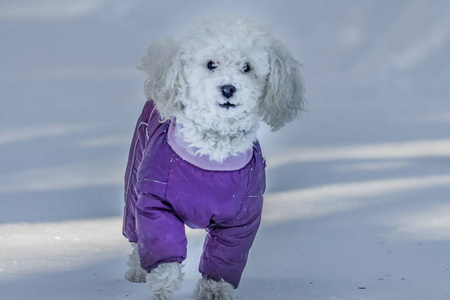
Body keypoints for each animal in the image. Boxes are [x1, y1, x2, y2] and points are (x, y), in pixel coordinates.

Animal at [123, 16, 304, 300]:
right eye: (211, 64)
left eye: (247, 67)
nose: (228, 88)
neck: (212, 156)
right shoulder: (155, 200)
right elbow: (160, 245)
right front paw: (163, 285)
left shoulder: (242, 217)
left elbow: (225, 257)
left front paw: (215, 289)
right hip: (134, 179)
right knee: (134, 231)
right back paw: (138, 270)